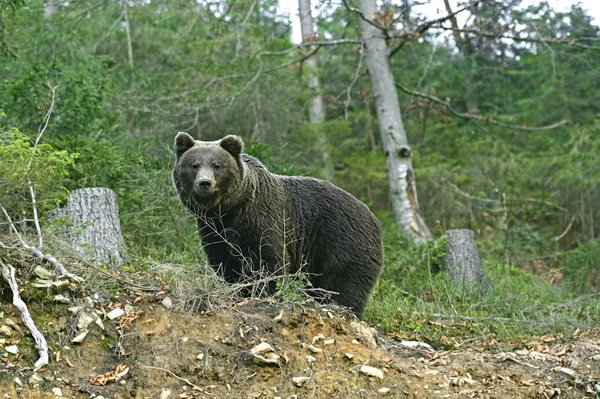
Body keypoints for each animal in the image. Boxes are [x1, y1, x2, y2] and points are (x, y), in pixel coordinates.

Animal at [171, 133, 382, 318]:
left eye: (217, 166)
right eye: (194, 165)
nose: (205, 183)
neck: (228, 210)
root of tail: (374, 219)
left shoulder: (262, 218)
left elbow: (268, 261)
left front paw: (263, 293)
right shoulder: (213, 230)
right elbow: (225, 264)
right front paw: (238, 291)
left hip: (342, 241)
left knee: (344, 285)